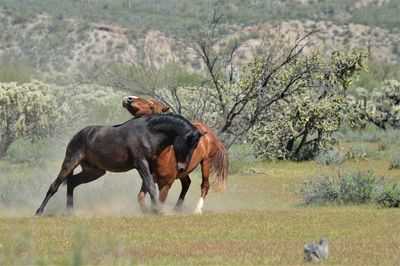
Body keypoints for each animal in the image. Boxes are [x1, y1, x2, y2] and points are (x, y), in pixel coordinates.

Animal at [35, 114, 205, 216]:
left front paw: (151, 210)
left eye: (195, 146)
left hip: (94, 171)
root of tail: (77, 135)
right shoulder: (140, 163)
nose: (182, 168)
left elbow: (147, 187)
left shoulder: (148, 165)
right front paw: (157, 210)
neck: (148, 133)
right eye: (187, 143)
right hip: (70, 162)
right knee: (54, 186)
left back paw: (70, 211)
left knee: (72, 182)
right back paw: (39, 211)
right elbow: (150, 186)